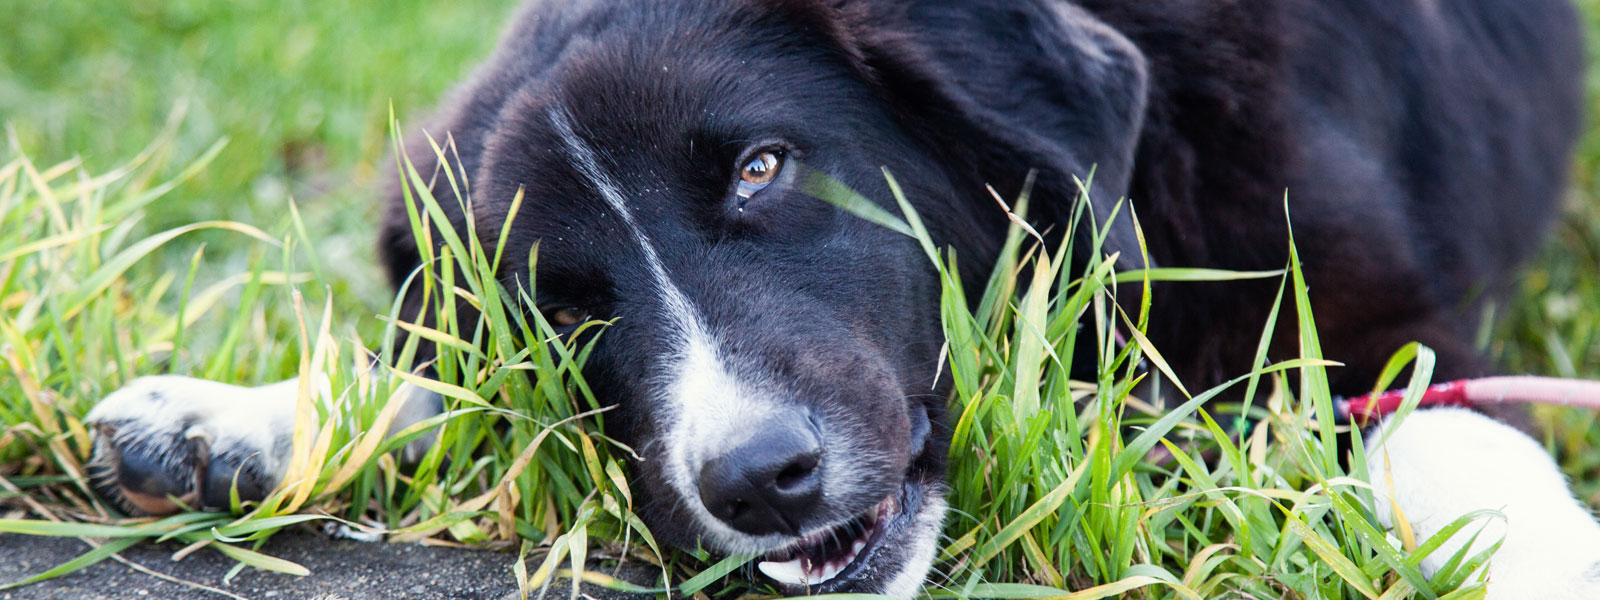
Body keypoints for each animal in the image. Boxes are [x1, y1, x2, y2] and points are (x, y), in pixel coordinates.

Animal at [84, 0, 1600, 598]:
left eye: (762, 167)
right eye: (564, 305)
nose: (759, 481)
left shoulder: (1369, 310)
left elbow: (1458, 435)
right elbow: (451, 380)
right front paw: (239, 416)